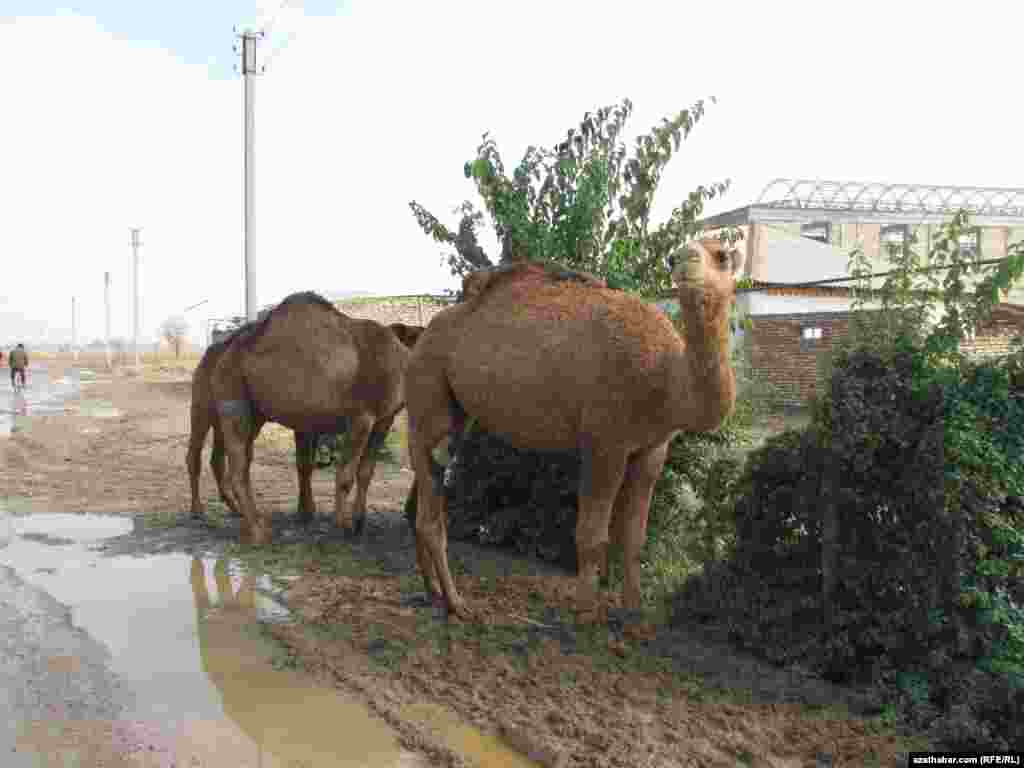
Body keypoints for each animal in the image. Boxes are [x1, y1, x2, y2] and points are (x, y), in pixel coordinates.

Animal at [209, 288, 421, 548]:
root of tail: (225, 353)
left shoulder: (385, 417)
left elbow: (366, 471)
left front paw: (359, 522)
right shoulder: (361, 416)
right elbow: (345, 473)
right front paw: (343, 525)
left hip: (253, 410)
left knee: (244, 462)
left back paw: (257, 525)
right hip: (233, 394)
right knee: (238, 467)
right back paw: (257, 533)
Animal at [403, 239, 749, 626]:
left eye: (722, 255)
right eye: (677, 254)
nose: (682, 259)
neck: (668, 379)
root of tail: (421, 335)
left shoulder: (653, 448)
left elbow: (634, 536)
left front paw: (634, 614)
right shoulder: (604, 442)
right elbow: (592, 534)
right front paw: (585, 612)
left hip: (454, 415)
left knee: (423, 497)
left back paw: (433, 589)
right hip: (427, 387)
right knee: (430, 511)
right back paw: (456, 603)